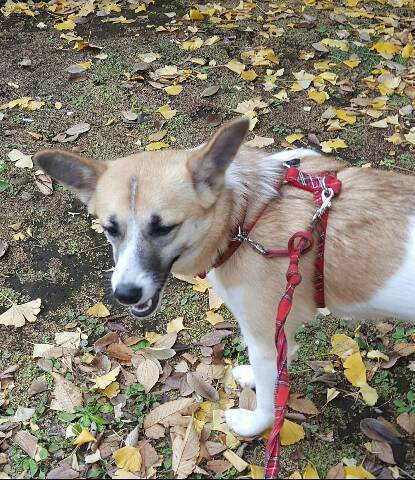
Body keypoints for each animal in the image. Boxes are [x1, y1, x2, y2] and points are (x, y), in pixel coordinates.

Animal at [35, 117, 415, 438]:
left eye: (164, 228)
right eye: (110, 229)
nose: (126, 293)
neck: (246, 216)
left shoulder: (266, 337)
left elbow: (270, 402)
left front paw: (254, 424)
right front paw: (252, 377)